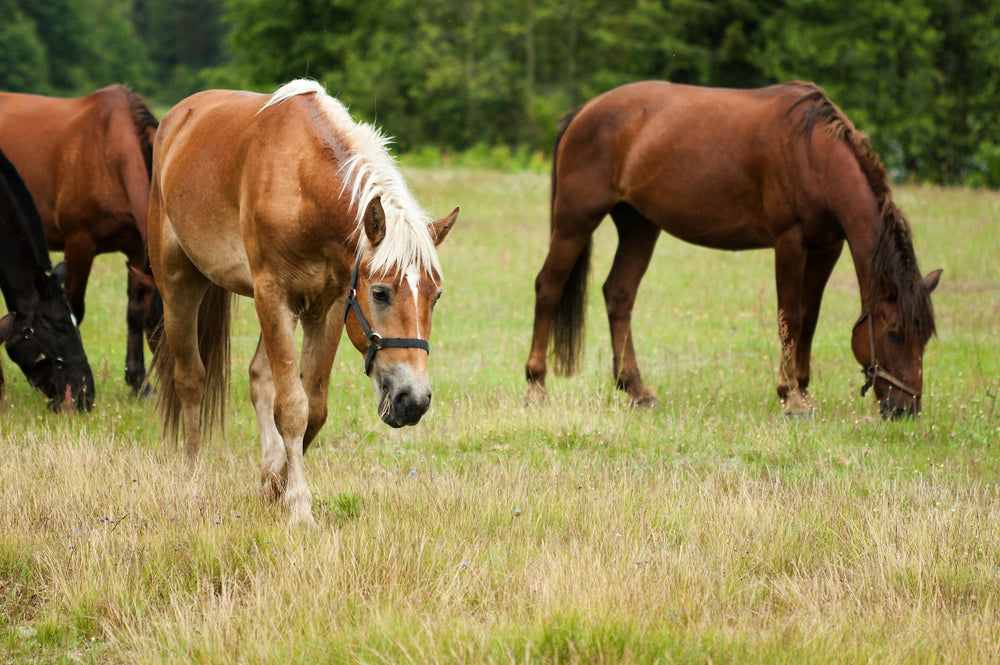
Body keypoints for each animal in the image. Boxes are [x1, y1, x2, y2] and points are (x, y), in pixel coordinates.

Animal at [149, 80, 459, 526]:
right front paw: (298, 506)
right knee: (191, 379)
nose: (413, 400)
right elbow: (292, 408)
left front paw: (275, 485)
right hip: (179, 283)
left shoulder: (329, 308)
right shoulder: (273, 296)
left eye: (435, 296)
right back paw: (192, 477)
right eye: (380, 292)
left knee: (259, 377)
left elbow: (312, 408)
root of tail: (178, 118)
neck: (301, 183)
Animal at [524, 81, 941, 419]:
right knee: (549, 287)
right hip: (575, 220)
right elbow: (791, 316)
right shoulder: (789, 242)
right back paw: (536, 385)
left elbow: (811, 316)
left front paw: (803, 389)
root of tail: (584, 111)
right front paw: (790, 395)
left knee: (619, 294)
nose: (905, 410)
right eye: (894, 334)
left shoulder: (827, 247)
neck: (813, 153)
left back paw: (636, 389)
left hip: (639, 225)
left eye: (924, 338)